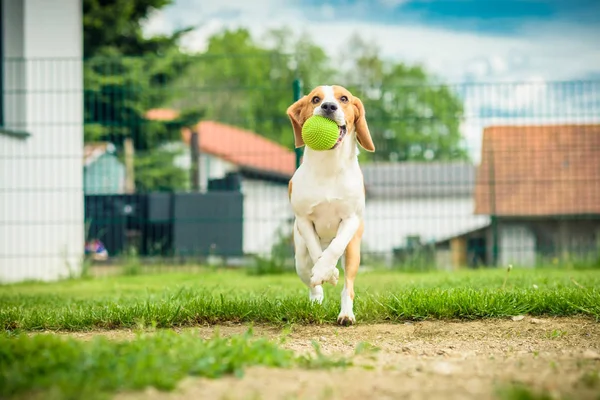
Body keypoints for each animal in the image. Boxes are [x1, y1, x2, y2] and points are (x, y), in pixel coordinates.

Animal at [288, 84, 376, 324]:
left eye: (344, 98)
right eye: (315, 99)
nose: (328, 106)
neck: (329, 167)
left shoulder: (351, 220)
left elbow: (335, 247)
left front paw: (327, 271)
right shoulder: (304, 220)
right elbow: (316, 253)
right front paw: (325, 272)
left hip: (354, 251)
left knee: (348, 286)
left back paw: (346, 314)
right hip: (299, 255)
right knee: (308, 274)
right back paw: (316, 298)